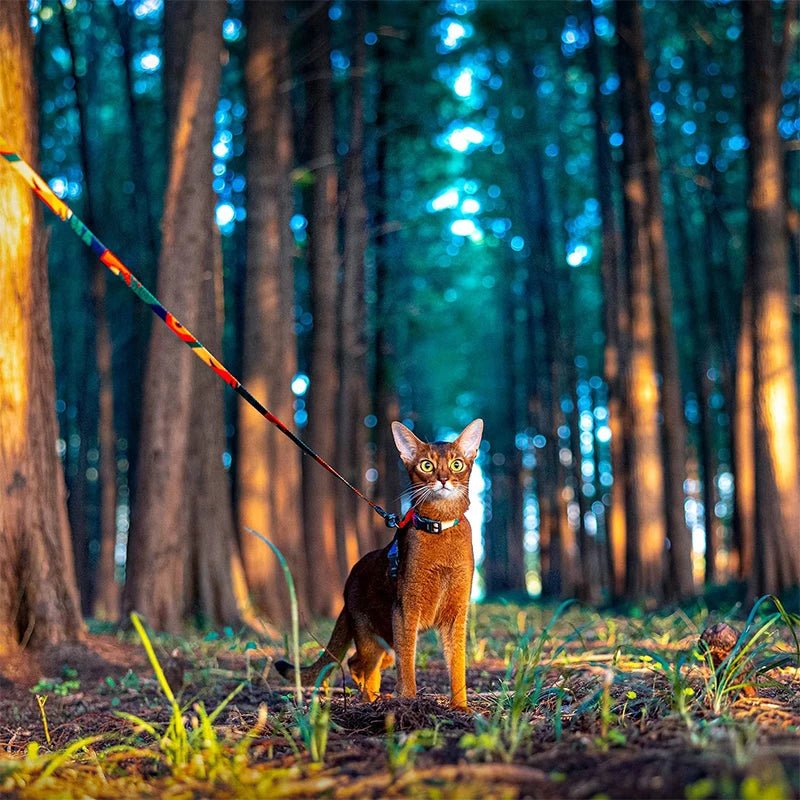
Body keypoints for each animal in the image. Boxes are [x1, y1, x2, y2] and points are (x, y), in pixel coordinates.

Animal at [278, 416, 484, 708]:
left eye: (457, 464)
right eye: (426, 465)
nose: (443, 480)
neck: (440, 527)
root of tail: (348, 586)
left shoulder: (456, 612)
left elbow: (457, 664)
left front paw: (461, 707)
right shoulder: (406, 608)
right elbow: (407, 664)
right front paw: (407, 702)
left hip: (385, 642)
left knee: (364, 664)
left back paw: (375, 697)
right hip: (373, 634)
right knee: (358, 663)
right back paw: (370, 700)